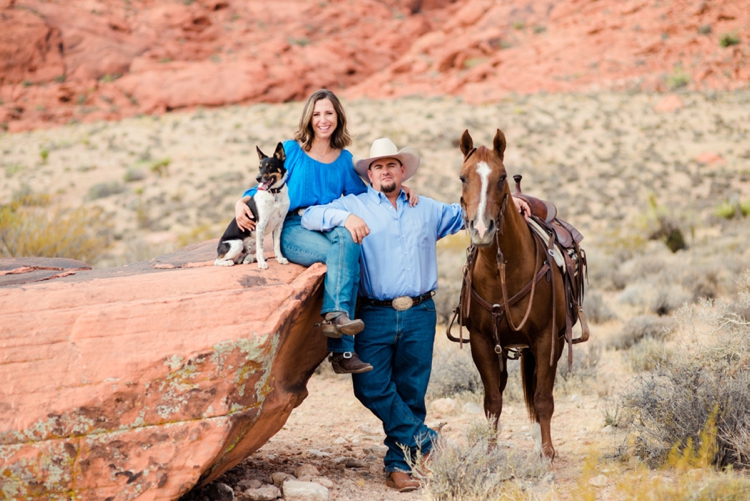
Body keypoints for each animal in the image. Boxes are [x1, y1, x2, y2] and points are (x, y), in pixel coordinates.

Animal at [458, 128, 568, 458]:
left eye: (502, 177)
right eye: (463, 178)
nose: (482, 229)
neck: (502, 275)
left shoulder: (546, 339)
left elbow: (543, 398)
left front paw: (547, 450)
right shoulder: (482, 342)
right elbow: (493, 400)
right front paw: (490, 451)